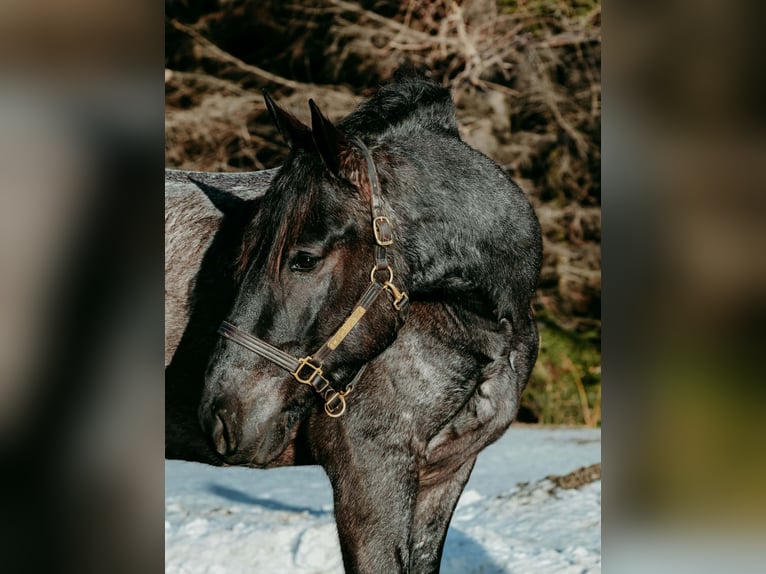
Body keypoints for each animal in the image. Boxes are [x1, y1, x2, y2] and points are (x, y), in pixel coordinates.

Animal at [169, 73, 542, 573]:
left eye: (305, 259)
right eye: (239, 256)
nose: (220, 415)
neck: (481, 326)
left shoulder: (445, 475)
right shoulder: (371, 476)